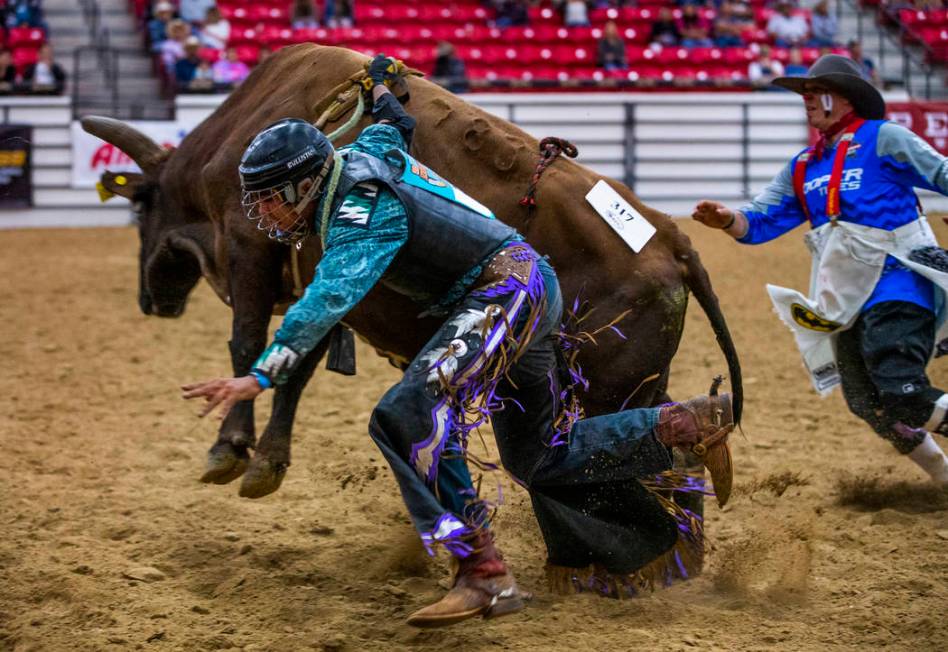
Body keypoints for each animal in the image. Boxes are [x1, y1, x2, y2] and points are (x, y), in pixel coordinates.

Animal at [81, 45, 740, 506]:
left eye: (139, 209)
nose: (151, 298)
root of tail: (672, 238)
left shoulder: (251, 254)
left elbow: (248, 344)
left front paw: (229, 448)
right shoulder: (329, 279)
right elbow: (299, 365)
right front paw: (267, 462)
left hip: (606, 388)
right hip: (633, 382)